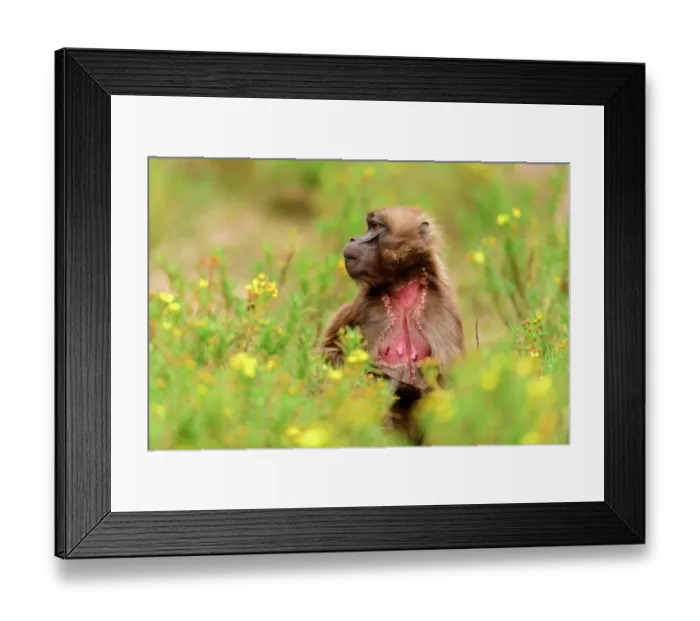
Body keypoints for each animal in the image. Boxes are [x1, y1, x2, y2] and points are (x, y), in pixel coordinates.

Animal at [320, 206, 466, 445]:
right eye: (369, 226)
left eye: (376, 227)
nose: (353, 239)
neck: (402, 291)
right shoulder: (363, 307)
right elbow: (330, 355)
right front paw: (397, 385)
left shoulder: (443, 312)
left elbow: (447, 383)